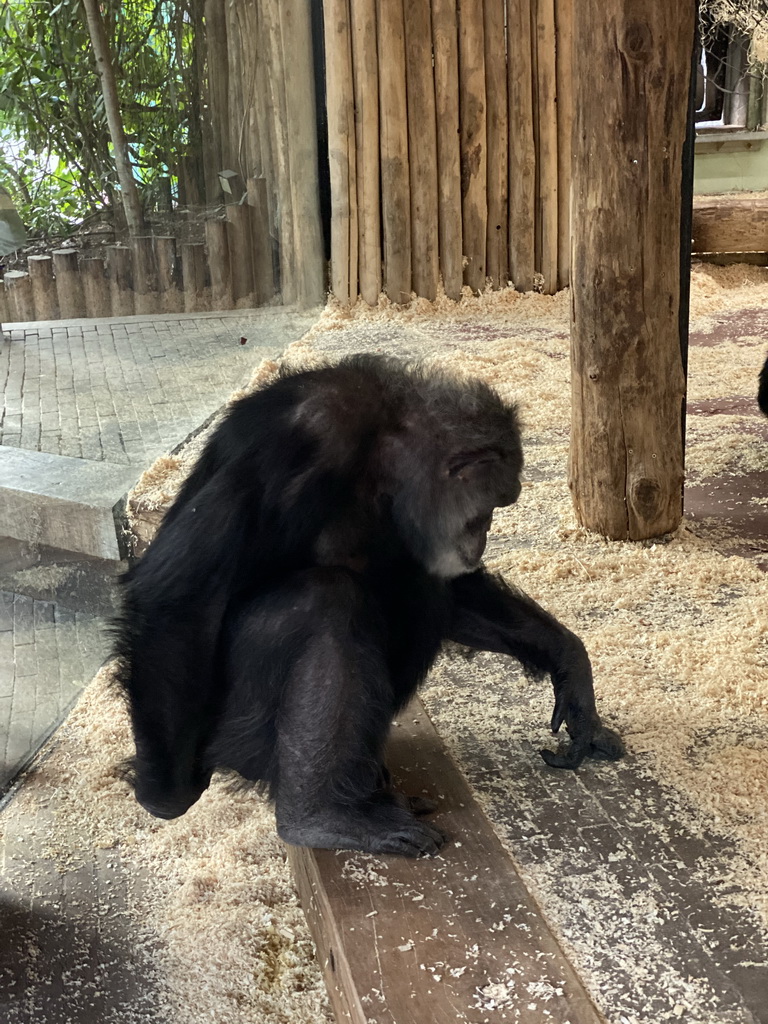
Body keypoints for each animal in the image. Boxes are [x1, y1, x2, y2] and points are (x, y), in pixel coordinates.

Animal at [117, 354, 626, 856]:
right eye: (489, 509)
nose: (483, 537)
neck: (381, 454)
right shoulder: (295, 444)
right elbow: (180, 594)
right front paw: (167, 796)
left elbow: (455, 590)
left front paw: (572, 671)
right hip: (237, 733)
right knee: (325, 603)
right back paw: (319, 816)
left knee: (422, 587)